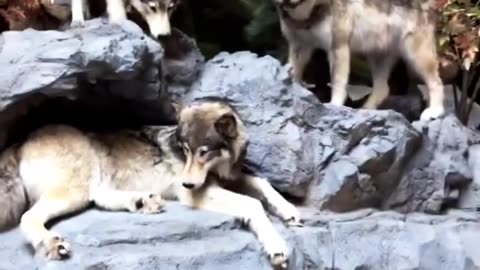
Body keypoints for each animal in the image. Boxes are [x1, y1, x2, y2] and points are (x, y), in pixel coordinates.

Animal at [0, 98, 302, 268]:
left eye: (203, 152)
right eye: (185, 149)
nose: (187, 184)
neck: (219, 169)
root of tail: (21, 140)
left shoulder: (231, 178)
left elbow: (263, 183)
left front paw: (290, 211)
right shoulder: (199, 193)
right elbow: (253, 204)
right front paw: (276, 246)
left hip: (89, 184)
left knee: (100, 198)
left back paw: (142, 201)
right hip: (75, 189)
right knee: (28, 217)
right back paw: (51, 243)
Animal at [274, 0, 446, 120]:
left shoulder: (338, 47)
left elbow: (337, 84)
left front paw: (334, 107)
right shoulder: (298, 46)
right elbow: (294, 75)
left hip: (415, 55)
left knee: (437, 82)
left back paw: (434, 112)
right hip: (377, 56)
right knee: (383, 89)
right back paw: (365, 111)